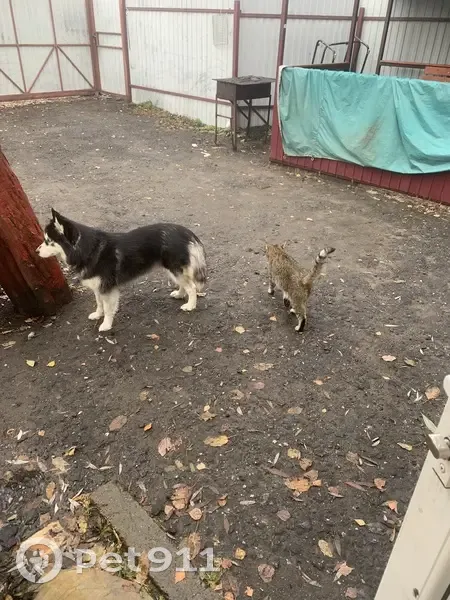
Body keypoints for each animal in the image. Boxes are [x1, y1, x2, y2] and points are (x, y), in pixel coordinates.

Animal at [37, 209, 207, 332]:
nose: (36, 251)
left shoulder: (107, 288)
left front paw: (106, 324)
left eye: (48, 241)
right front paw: (98, 315)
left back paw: (190, 305)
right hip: (172, 270)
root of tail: (185, 231)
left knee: (191, 287)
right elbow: (99, 303)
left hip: (174, 268)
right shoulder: (98, 287)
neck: (88, 250)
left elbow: (108, 308)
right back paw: (180, 294)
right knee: (185, 284)